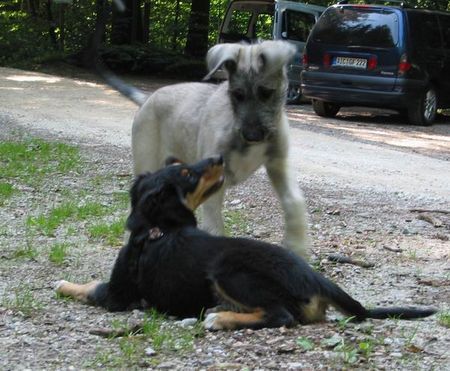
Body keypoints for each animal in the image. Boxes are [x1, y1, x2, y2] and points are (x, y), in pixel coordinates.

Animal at [55, 157, 436, 332]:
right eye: (185, 173)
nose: (218, 157)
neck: (155, 229)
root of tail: (314, 277)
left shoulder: (116, 295)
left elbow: (87, 286)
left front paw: (62, 284)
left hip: (229, 270)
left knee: (281, 315)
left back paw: (220, 317)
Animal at [98, 40, 310, 258]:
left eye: (266, 92)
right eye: (237, 94)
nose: (252, 136)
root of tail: (148, 98)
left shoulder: (278, 163)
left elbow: (294, 200)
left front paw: (297, 244)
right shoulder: (215, 183)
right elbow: (214, 227)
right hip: (147, 163)